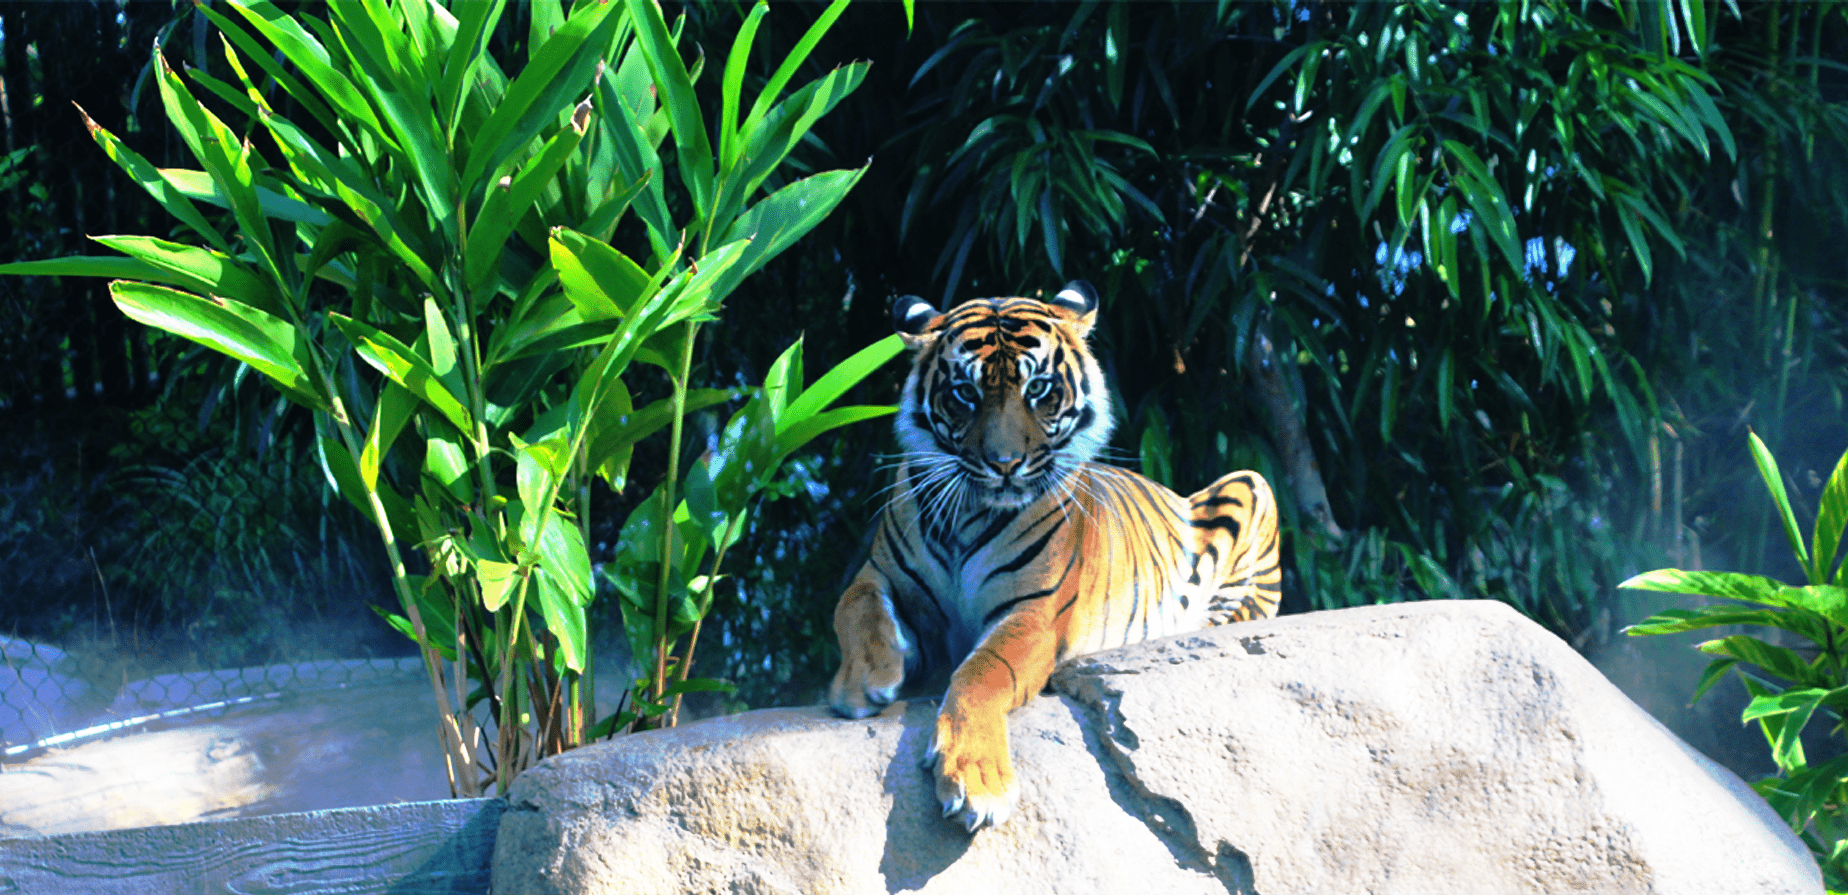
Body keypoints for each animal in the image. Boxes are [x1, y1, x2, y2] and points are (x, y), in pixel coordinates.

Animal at [827, 279, 1282, 832]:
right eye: (965, 394)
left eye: (1039, 389)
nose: (1004, 464)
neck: (967, 517)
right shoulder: (879, 571)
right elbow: (851, 604)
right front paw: (865, 679)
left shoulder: (1033, 613)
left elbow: (982, 673)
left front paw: (978, 781)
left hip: (1250, 484)